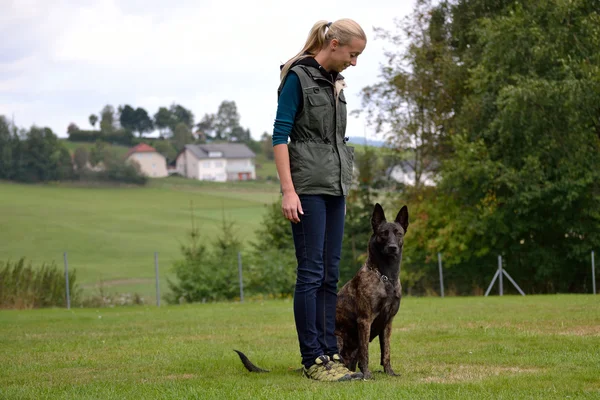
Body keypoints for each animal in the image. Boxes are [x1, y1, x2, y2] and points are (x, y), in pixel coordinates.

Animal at [234, 205, 408, 380]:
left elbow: (386, 352)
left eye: (398, 233)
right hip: (338, 339)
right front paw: (367, 374)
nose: (392, 247)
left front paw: (389, 372)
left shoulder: (387, 323)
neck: (385, 276)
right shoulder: (364, 321)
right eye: (383, 233)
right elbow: (365, 353)